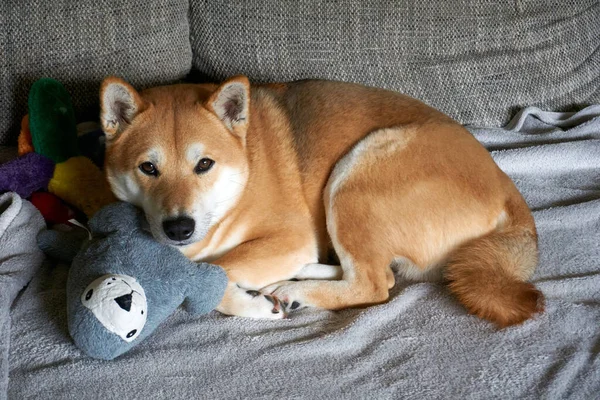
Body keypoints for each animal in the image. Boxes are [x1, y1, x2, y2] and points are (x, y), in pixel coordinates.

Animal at [99, 76, 544, 326]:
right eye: (148, 168)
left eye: (204, 164)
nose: (179, 228)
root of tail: (508, 190)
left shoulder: (287, 237)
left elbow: (215, 272)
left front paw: (251, 306)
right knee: (368, 271)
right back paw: (297, 279)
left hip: (353, 178)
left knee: (375, 283)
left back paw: (296, 291)